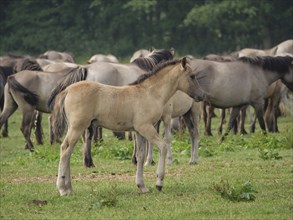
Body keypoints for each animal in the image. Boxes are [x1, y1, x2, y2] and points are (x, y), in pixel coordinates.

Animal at [49, 57, 197, 196]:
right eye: (192, 76)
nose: (200, 96)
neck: (149, 93)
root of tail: (67, 90)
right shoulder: (146, 127)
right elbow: (163, 146)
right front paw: (159, 183)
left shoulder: (138, 131)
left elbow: (140, 155)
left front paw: (142, 186)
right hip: (78, 127)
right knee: (65, 149)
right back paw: (63, 189)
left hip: (75, 127)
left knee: (68, 152)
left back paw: (69, 188)